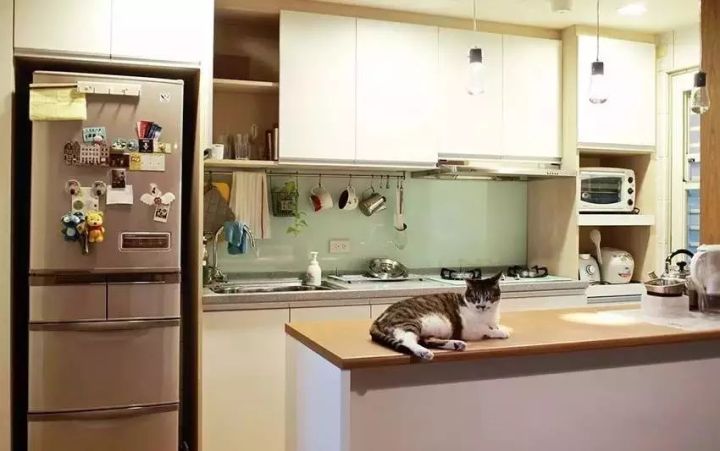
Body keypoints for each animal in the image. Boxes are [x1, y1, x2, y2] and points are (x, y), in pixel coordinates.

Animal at [369, 272, 509, 360]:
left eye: (488, 297)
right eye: (475, 297)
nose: (482, 306)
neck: (487, 315)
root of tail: (379, 318)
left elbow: (494, 326)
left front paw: (500, 328)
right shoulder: (470, 329)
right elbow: (486, 329)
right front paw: (501, 332)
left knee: (427, 340)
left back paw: (456, 344)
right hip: (410, 323)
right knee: (407, 340)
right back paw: (424, 352)